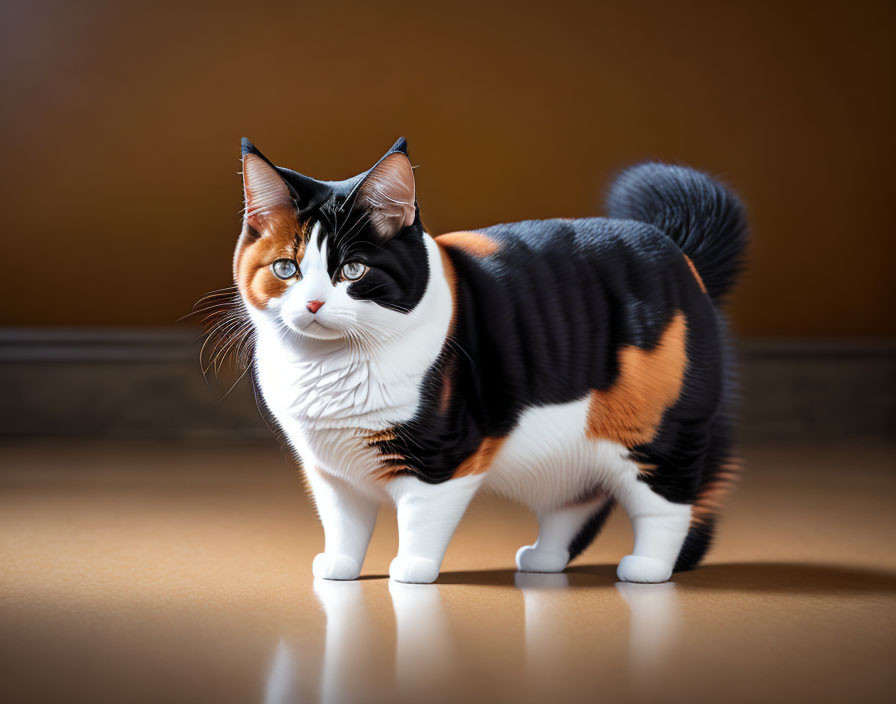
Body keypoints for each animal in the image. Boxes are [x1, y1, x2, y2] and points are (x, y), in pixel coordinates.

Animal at [219, 136, 748, 584]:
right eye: (286, 268)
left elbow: (421, 518)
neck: (328, 368)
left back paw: (649, 567)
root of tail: (674, 248)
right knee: (575, 502)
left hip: (656, 432)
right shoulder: (329, 470)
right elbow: (343, 523)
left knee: (668, 502)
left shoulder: (443, 457)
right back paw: (543, 559)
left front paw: (411, 570)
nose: (312, 304)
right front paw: (340, 567)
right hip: (569, 454)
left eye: (353, 270)